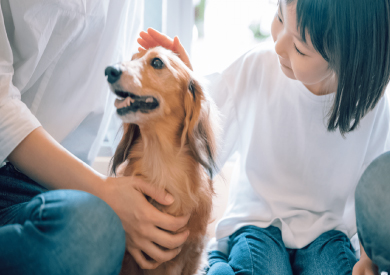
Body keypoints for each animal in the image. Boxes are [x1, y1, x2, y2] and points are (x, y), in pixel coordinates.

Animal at [105, 46, 219, 274]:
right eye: (132, 59)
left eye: (157, 62)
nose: (109, 71)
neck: (162, 167)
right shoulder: (129, 257)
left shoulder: (194, 252)